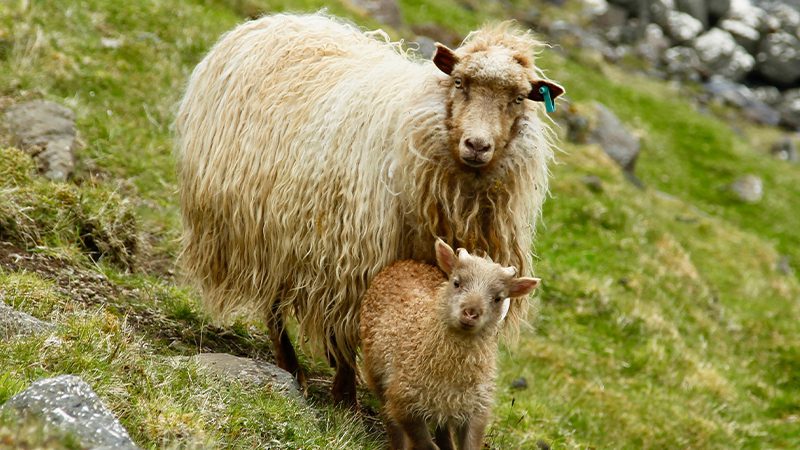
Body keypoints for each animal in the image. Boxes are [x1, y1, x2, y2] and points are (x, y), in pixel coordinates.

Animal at [360, 237, 536, 448]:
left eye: (498, 298)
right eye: (457, 283)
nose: (471, 312)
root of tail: (407, 262)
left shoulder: (476, 408)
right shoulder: (403, 402)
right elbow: (425, 443)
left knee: (442, 429)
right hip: (377, 375)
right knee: (392, 424)